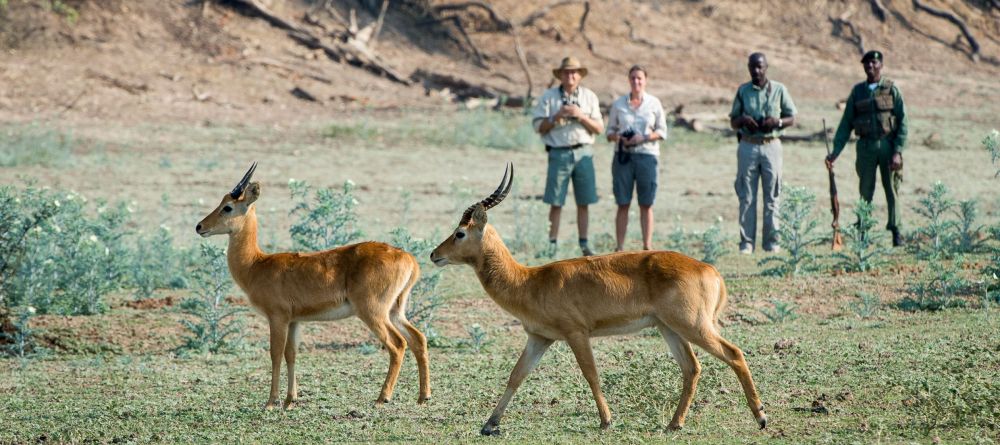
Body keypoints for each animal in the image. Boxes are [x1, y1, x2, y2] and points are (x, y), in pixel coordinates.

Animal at [195, 163, 430, 409]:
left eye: (228, 207)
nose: (199, 226)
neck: (256, 264)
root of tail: (408, 258)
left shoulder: (277, 317)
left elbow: (275, 354)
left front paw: (271, 402)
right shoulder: (294, 321)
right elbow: (291, 354)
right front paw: (290, 400)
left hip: (373, 312)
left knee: (398, 344)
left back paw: (382, 397)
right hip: (395, 311)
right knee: (418, 339)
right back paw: (423, 396)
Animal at [430, 163, 767, 435]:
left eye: (460, 232)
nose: (434, 254)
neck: (529, 280)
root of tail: (710, 269)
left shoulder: (576, 333)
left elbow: (591, 374)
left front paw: (606, 421)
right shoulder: (539, 338)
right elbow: (516, 376)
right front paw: (489, 424)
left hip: (692, 325)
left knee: (734, 353)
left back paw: (761, 418)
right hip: (669, 328)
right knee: (692, 368)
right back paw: (674, 424)